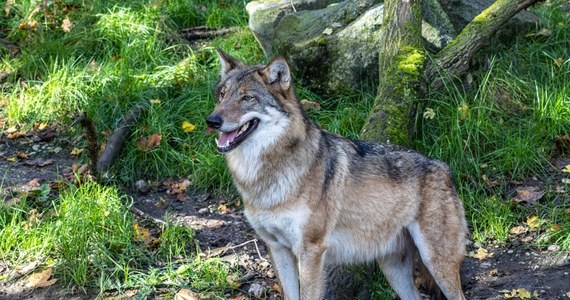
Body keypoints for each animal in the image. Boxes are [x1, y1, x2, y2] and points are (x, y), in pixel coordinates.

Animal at [206, 49, 464, 300]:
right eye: (222, 95)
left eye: (247, 98)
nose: (212, 120)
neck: (263, 176)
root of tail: (443, 167)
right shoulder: (278, 248)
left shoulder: (310, 252)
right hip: (394, 270)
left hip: (436, 263)